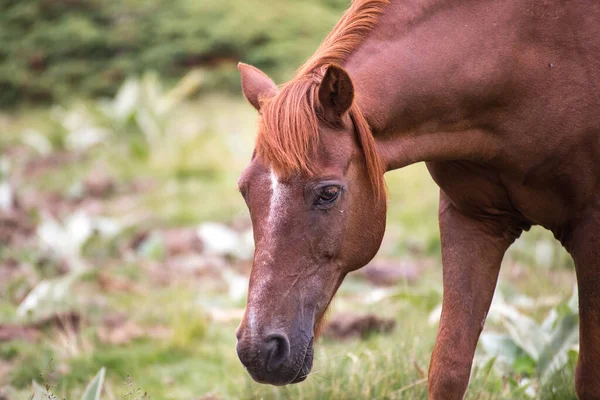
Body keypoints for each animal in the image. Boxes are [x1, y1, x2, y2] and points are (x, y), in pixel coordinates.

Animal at [234, 0, 600, 396]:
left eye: (329, 193)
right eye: (245, 191)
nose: (258, 350)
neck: (524, 63)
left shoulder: (591, 230)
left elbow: (588, 377)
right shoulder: (472, 220)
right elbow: (448, 368)